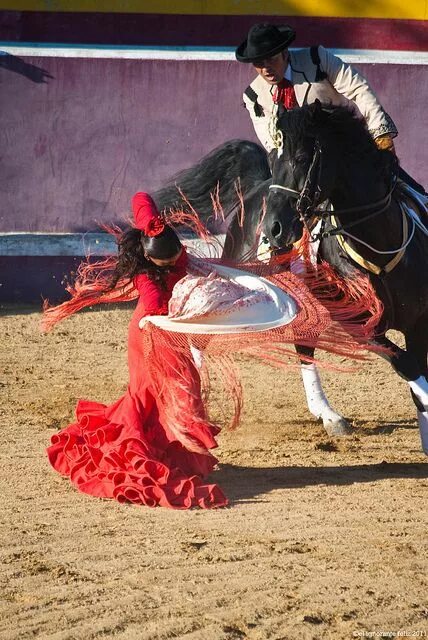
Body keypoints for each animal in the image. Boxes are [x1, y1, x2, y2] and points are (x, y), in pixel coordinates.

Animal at [154, 105, 428, 444]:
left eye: (301, 158)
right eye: (276, 159)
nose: (274, 228)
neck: (380, 243)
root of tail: (255, 190)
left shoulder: (419, 321)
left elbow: (416, 371)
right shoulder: (361, 325)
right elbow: (406, 364)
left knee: (303, 346)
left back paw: (327, 414)